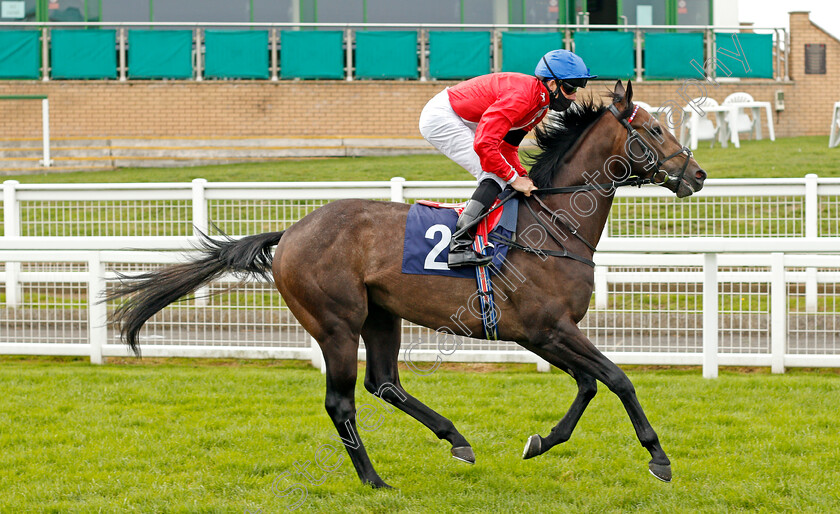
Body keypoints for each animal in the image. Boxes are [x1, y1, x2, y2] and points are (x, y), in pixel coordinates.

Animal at [108, 80, 704, 484]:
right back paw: (374, 479)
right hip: (336, 324)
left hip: (381, 315)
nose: (697, 175)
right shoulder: (546, 329)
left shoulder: (541, 334)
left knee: (385, 382)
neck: (552, 223)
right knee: (342, 402)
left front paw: (541, 441)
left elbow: (588, 384)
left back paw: (456, 440)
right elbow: (618, 379)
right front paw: (658, 456)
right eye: (654, 129)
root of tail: (292, 230)